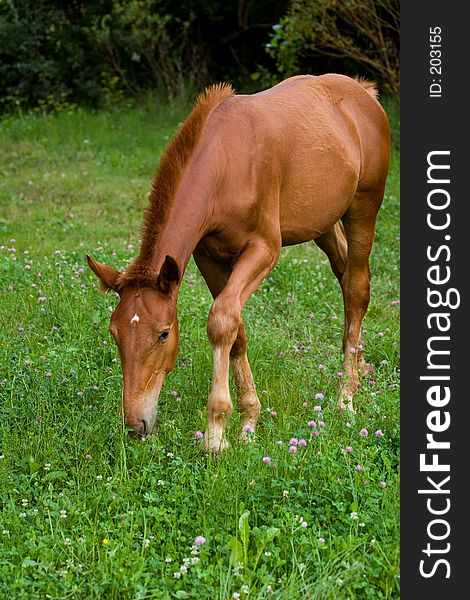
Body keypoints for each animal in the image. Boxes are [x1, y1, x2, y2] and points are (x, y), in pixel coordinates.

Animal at [87, 74, 390, 450]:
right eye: (114, 333)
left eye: (163, 334)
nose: (136, 425)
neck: (227, 163)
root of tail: (364, 92)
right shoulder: (207, 256)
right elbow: (236, 327)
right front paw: (248, 420)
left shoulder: (264, 249)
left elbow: (221, 320)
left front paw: (216, 433)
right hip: (324, 224)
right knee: (344, 271)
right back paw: (362, 367)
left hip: (363, 210)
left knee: (356, 288)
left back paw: (345, 397)